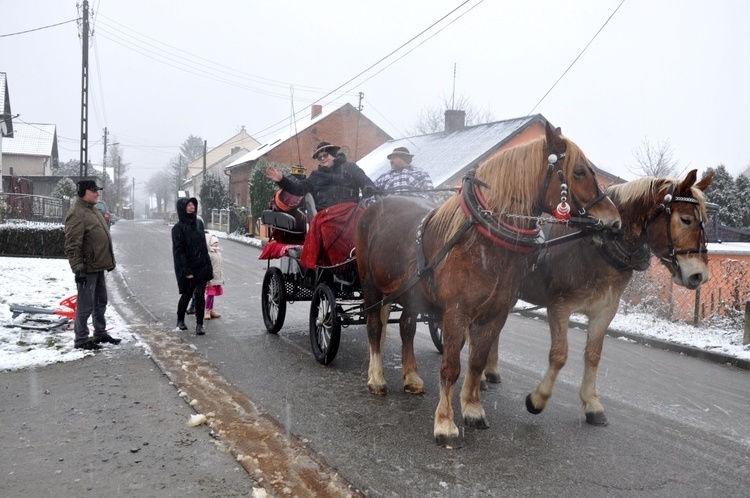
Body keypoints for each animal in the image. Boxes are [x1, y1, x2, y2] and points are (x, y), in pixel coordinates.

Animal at [356, 121, 624, 448]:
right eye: (580, 171)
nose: (614, 222)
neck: (484, 239)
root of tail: (376, 203)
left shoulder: (495, 314)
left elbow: (477, 361)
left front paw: (472, 409)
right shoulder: (456, 314)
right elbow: (451, 367)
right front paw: (445, 423)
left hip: (411, 294)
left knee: (406, 328)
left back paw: (412, 378)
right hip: (371, 287)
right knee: (374, 329)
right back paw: (377, 378)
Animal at [484, 169, 712, 426]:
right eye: (686, 219)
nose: (700, 275)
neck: (599, 244)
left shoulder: (605, 310)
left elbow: (593, 355)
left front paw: (592, 404)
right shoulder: (560, 306)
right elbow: (559, 355)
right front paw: (538, 399)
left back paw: (490, 371)